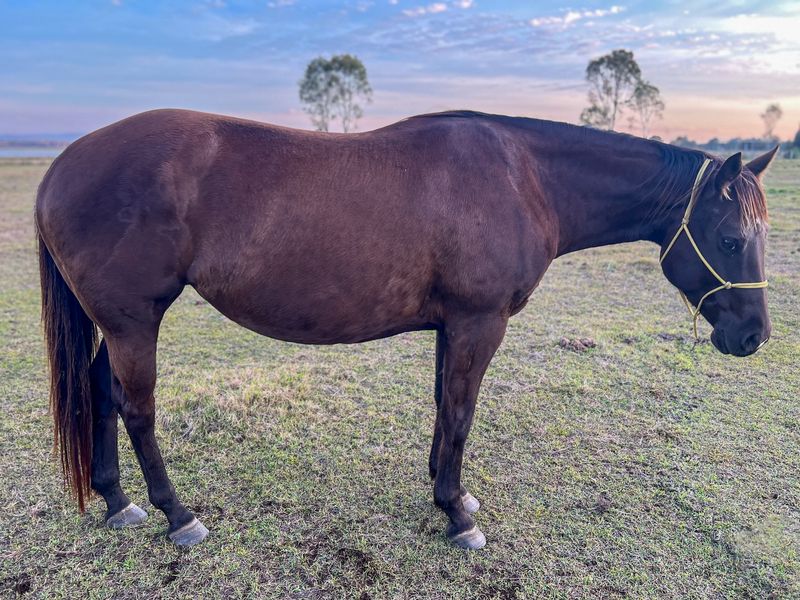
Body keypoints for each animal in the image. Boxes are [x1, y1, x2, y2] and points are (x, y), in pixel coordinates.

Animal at [35, 109, 776, 549]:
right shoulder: (479, 323)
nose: (754, 338)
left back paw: (117, 501)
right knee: (137, 410)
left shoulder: (454, 325)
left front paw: (450, 493)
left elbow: (445, 410)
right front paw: (458, 517)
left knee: (99, 395)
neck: (523, 177)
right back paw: (178, 516)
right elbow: (462, 412)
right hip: (135, 323)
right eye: (732, 238)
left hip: (113, 325)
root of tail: (61, 166)